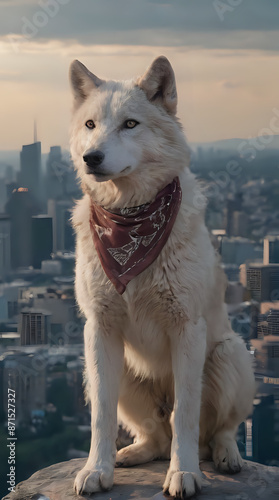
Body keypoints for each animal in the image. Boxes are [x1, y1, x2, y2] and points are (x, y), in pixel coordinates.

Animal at [69, 56, 256, 498]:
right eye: (90, 125)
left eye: (130, 124)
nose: (91, 158)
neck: (130, 219)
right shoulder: (99, 330)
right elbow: (101, 415)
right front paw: (96, 470)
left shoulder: (187, 327)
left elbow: (185, 412)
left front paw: (184, 473)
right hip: (114, 370)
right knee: (155, 434)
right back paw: (133, 453)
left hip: (230, 353)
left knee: (215, 430)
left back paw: (225, 455)